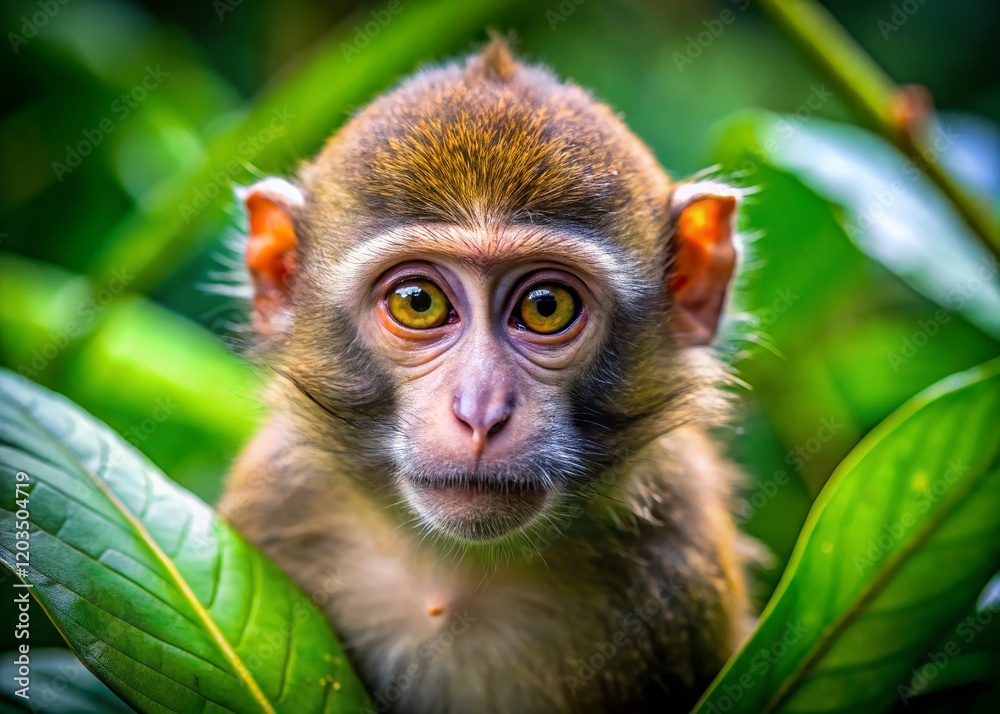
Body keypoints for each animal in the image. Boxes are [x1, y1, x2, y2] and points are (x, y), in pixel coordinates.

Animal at [220, 38, 750, 714]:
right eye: (418, 302)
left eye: (546, 306)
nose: (480, 412)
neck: (456, 576)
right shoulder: (273, 504)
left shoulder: (682, 559)